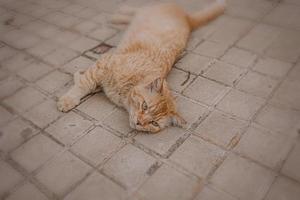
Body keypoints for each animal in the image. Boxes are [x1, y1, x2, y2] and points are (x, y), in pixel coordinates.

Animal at [56, 1, 225, 133]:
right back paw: (118, 14)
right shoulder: (103, 64)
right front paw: (68, 100)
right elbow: (83, 84)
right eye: (144, 106)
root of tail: (187, 18)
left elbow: (86, 82)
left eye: (153, 123)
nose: (139, 122)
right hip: (147, 10)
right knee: (136, 9)